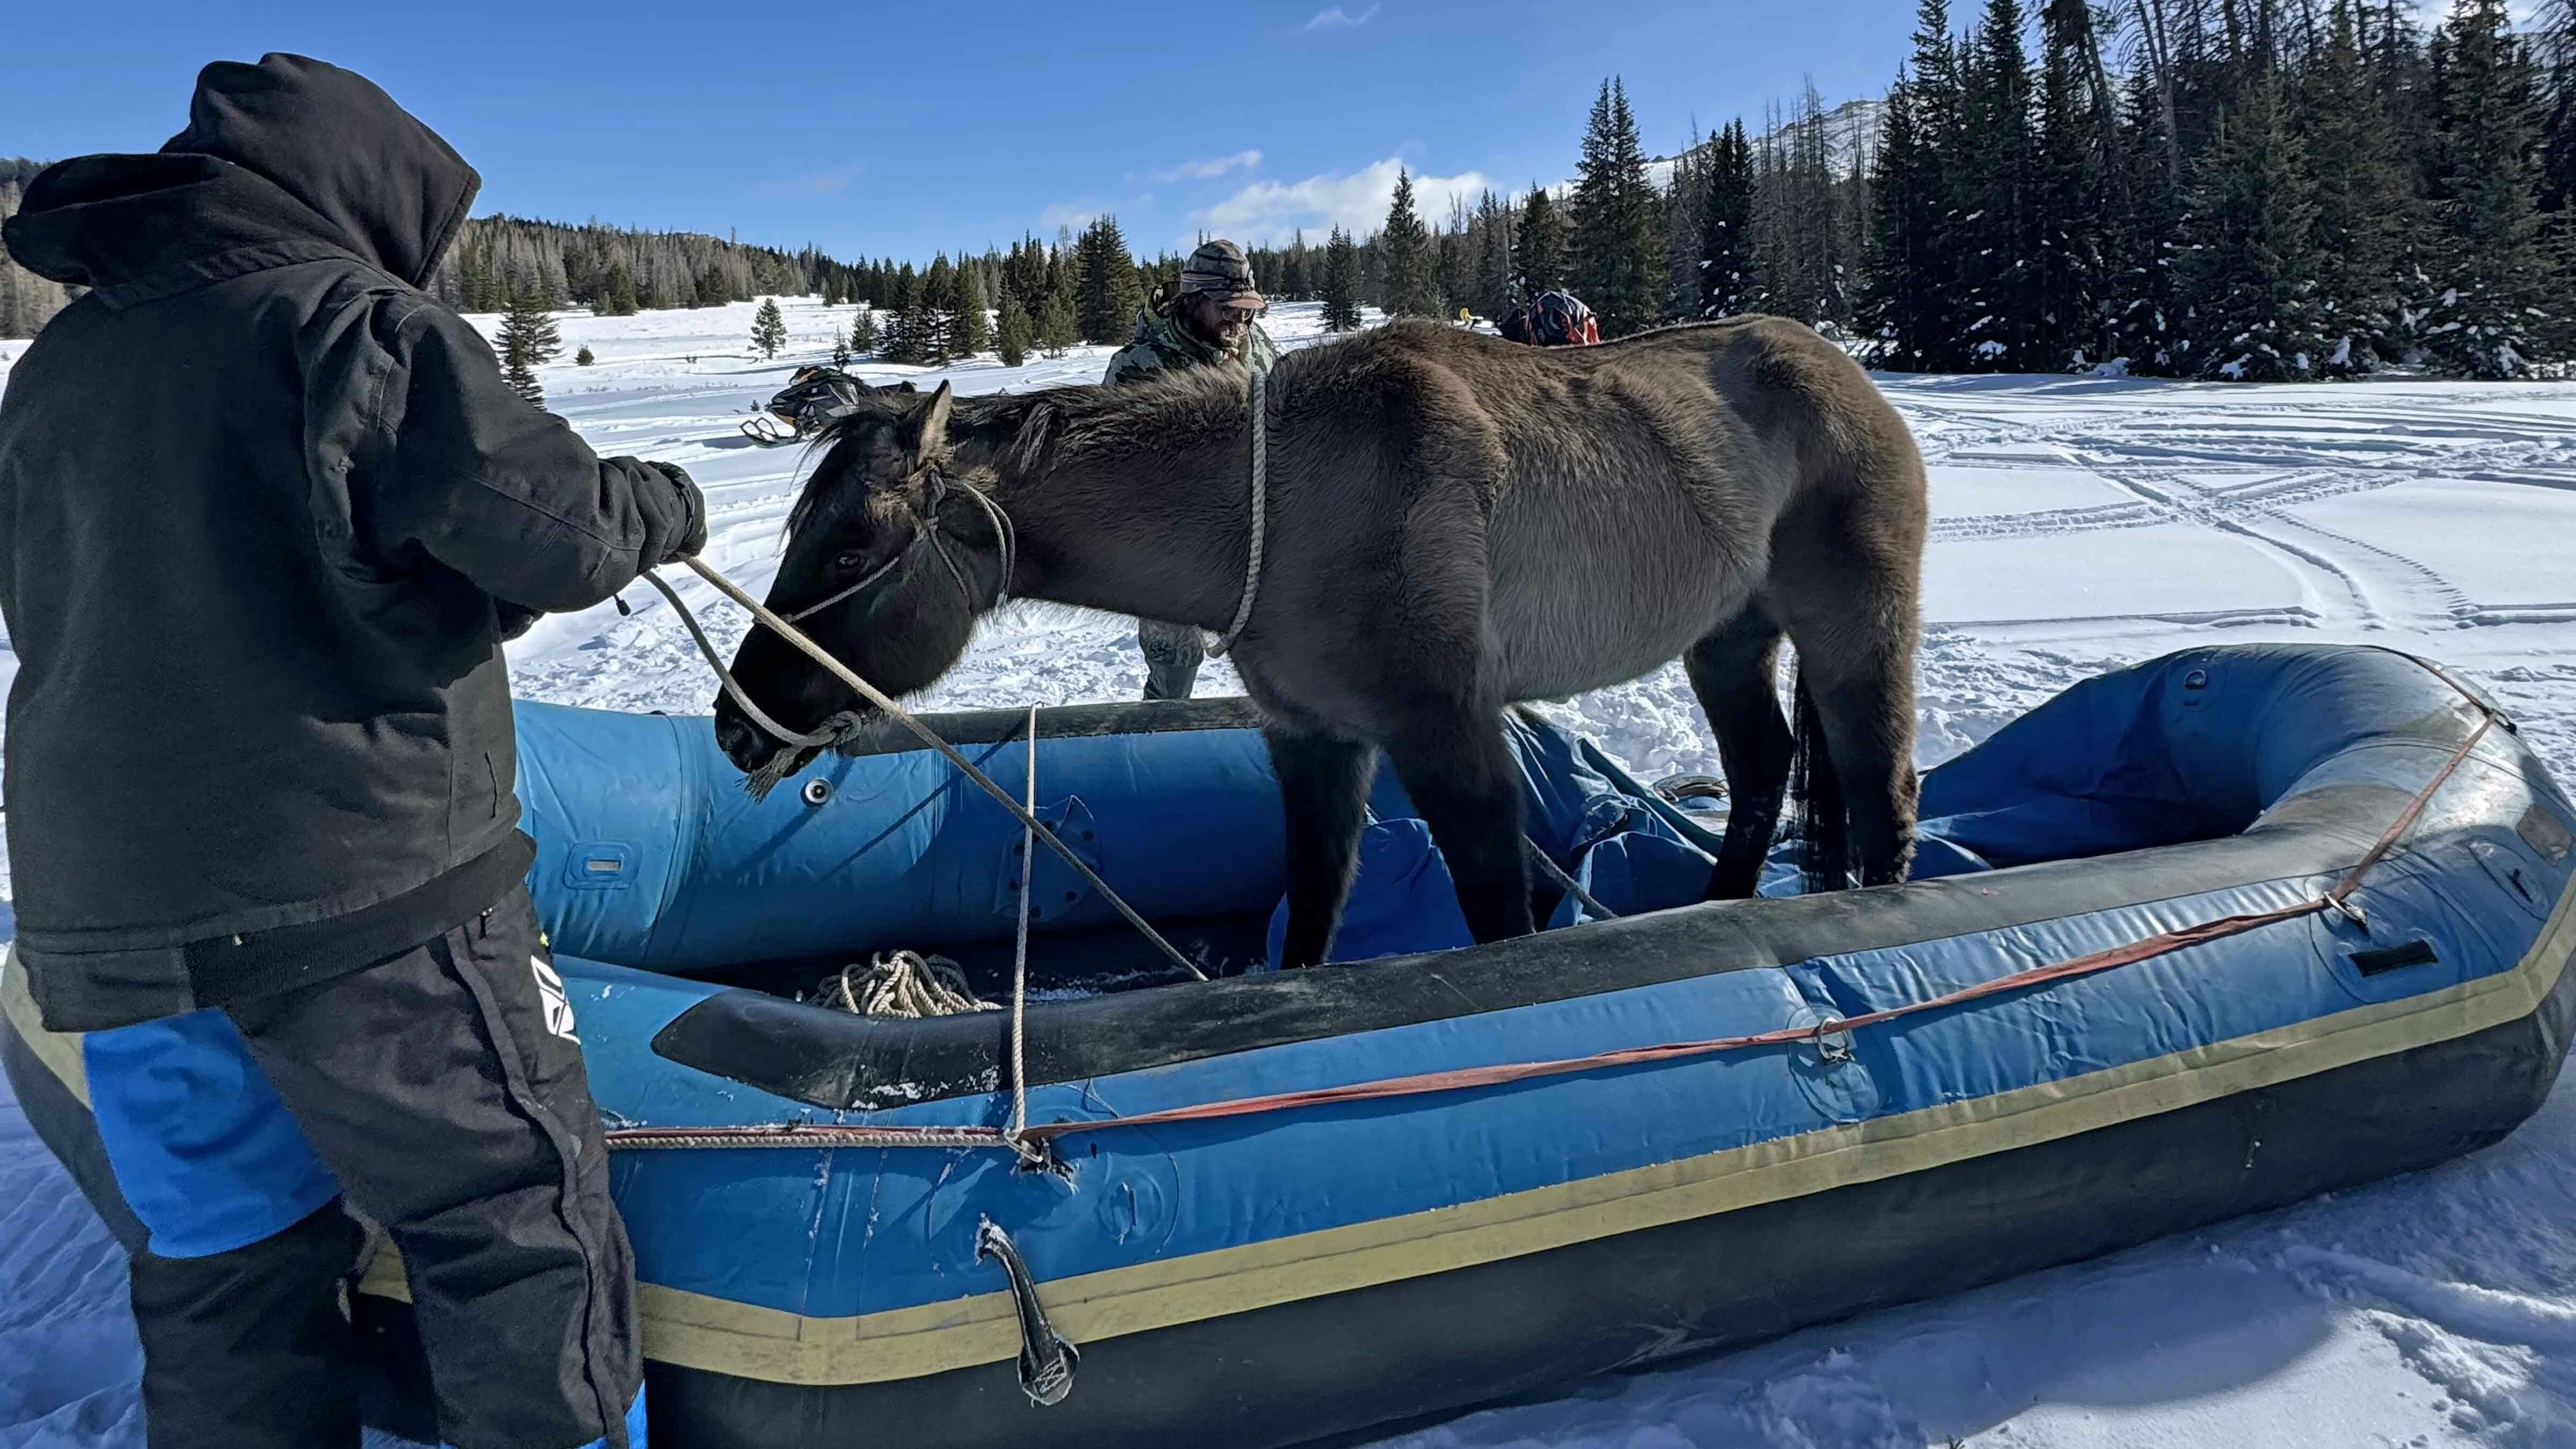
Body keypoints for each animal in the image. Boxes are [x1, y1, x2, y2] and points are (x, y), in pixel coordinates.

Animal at [711, 317, 1929, 969]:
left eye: (847, 550)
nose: (735, 726)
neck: (1276, 510)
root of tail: (1858, 380)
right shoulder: (1314, 738)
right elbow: (1312, 914)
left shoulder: (1446, 727)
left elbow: (1497, 914)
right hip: (1726, 636)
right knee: (1764, 767)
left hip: (1855, 624)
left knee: (1879, 791)